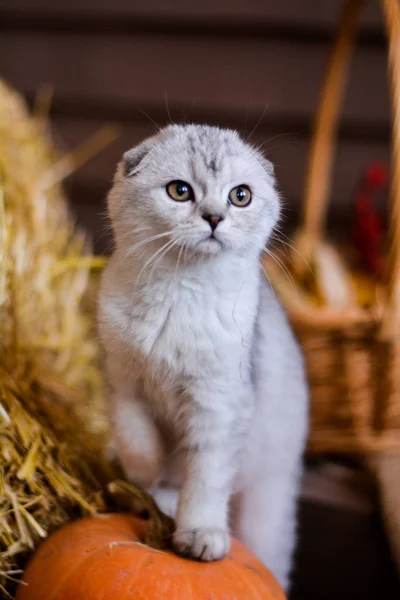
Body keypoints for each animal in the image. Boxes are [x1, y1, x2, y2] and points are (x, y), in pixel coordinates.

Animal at [97, 124, 310, 588]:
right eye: (180, 191)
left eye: (240, 196)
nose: (214, 218)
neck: (180, 294)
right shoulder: (124, 386)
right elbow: (141, 444)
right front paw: (144, 483)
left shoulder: (219, 407)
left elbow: (203, 477)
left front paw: (199, 534)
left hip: (267, 507)